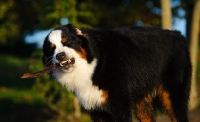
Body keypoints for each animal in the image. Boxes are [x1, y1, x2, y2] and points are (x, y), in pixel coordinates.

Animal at [42, 24, 192, 122]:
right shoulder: (96, 109)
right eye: (52, 48)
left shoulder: (120, 105)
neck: (95, 64)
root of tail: (178, 34)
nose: (60, 56)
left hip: (173, 97)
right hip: (142, 103)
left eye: (67, 42)